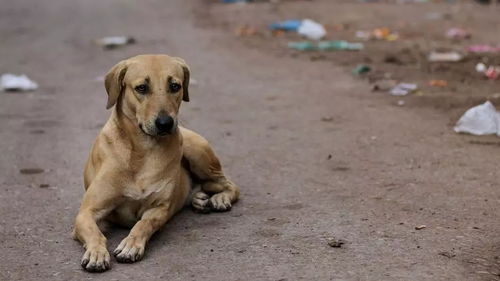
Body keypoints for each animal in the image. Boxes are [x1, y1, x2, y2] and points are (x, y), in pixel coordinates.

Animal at [72, 54, 240, 272]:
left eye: (175, 86)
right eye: (142, 88)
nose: (165, 123)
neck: (142, 150)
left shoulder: (159, 209)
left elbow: (143, 224)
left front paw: (131, 244)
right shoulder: (86, 212)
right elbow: (94, 232)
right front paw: (97, 253)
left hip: (197, 151)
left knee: (229, 184)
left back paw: (219, 198)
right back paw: (199, 198)